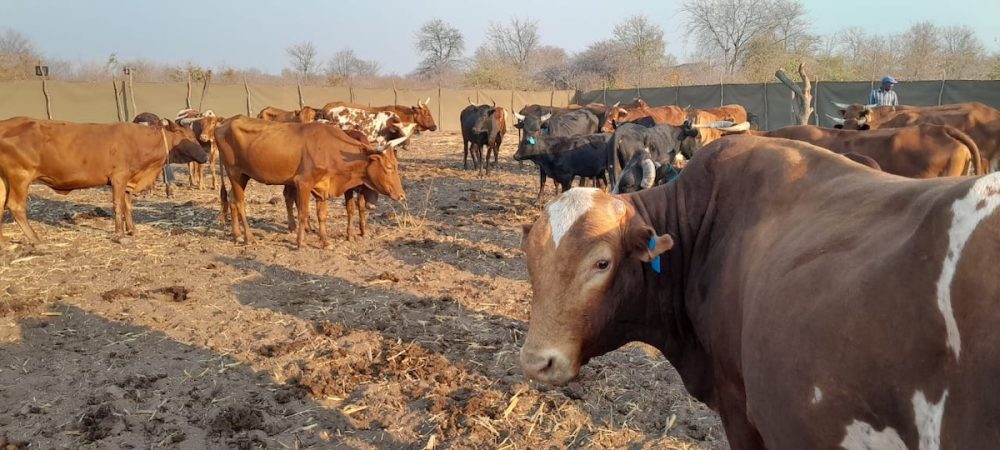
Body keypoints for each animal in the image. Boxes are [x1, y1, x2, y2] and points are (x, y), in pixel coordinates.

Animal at [0, 117, 208, 242]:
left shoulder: (127, 181)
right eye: (188, 136)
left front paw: (132, 230)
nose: (205, 156)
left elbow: (127, 206)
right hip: (20, 177)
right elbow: (117, 205)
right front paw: (120, 234)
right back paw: (35, 239)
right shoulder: (118, 178)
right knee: (15, 206)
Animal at [214, 116, 408, 249]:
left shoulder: (322, 187)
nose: (401, 195)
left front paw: (325, 241)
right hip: (235, 173)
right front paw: (301, 242)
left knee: (232, 200)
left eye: (396, 165)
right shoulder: (303, 183)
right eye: (389, 166)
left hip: (243, 176)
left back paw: (237, 235)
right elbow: (303, 213)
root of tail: (224, 123)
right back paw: (249, 237)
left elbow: (321, 215)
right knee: (240, 203)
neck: (330, 150)